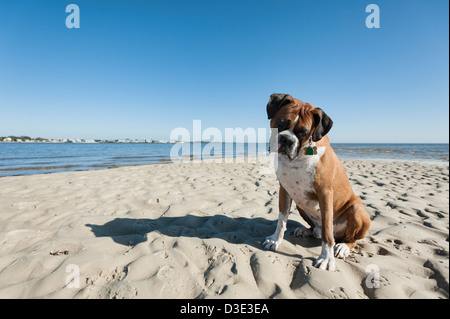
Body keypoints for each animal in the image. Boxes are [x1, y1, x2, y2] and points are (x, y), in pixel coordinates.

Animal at [262, 94, 370, 272]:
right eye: (280, 123)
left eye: (303, 133)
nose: (287, 140)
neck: (299, 156)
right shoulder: (285, 190)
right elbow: (281, 219)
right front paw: (275, 240)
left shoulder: (325, 194)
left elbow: (327, 230)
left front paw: (326, 258)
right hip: (300, 205)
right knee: (316, 229)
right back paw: (305, 231)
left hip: (356, 210)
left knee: (349, 238)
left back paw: (342, 247)